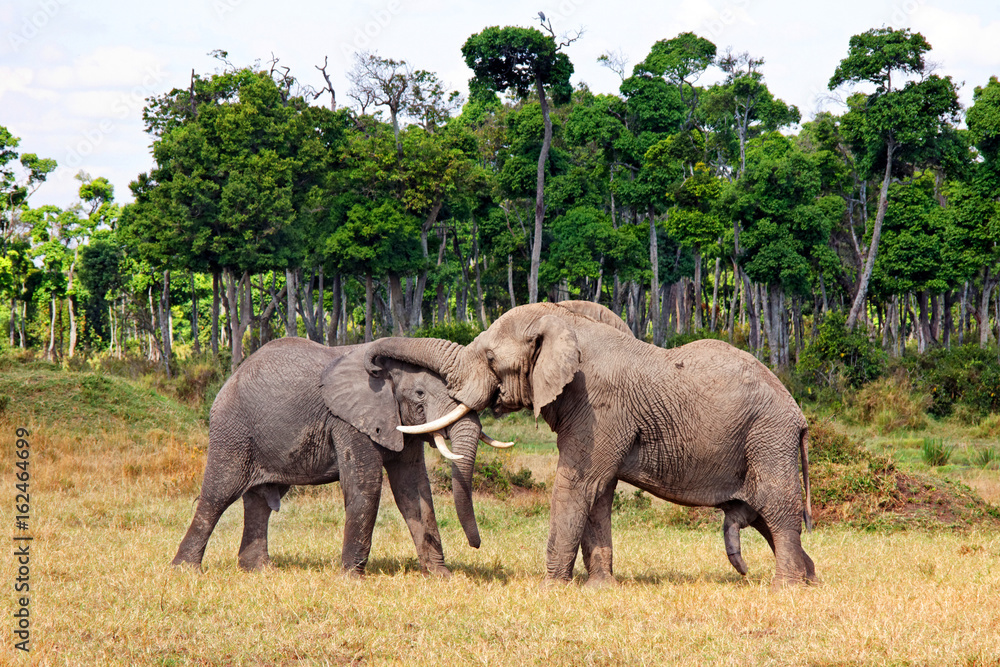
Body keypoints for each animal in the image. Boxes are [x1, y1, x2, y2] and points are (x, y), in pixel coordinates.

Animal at [172, 336, 502, 577]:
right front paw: (351, 578)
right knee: (219, 494)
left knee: (259, 502)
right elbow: (366, 485)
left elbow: (414, 488)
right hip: (233, 430)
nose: (476, 545)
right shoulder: (347, 420)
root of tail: (231, 377)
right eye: (420, 394)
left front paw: (440, 576)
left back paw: (260, 571)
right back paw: (185, 571)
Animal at [364, 300, 816, 587]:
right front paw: (600, 588)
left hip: (767, 437)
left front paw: (550, 589)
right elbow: (598, 493)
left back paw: (787, 588)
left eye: (491, 360)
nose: (373, 363)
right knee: (763, 514)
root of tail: (799, 416)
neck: (564, 321)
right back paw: (810, 580)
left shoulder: (599, 406)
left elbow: (578, 484)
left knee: (776, 507)